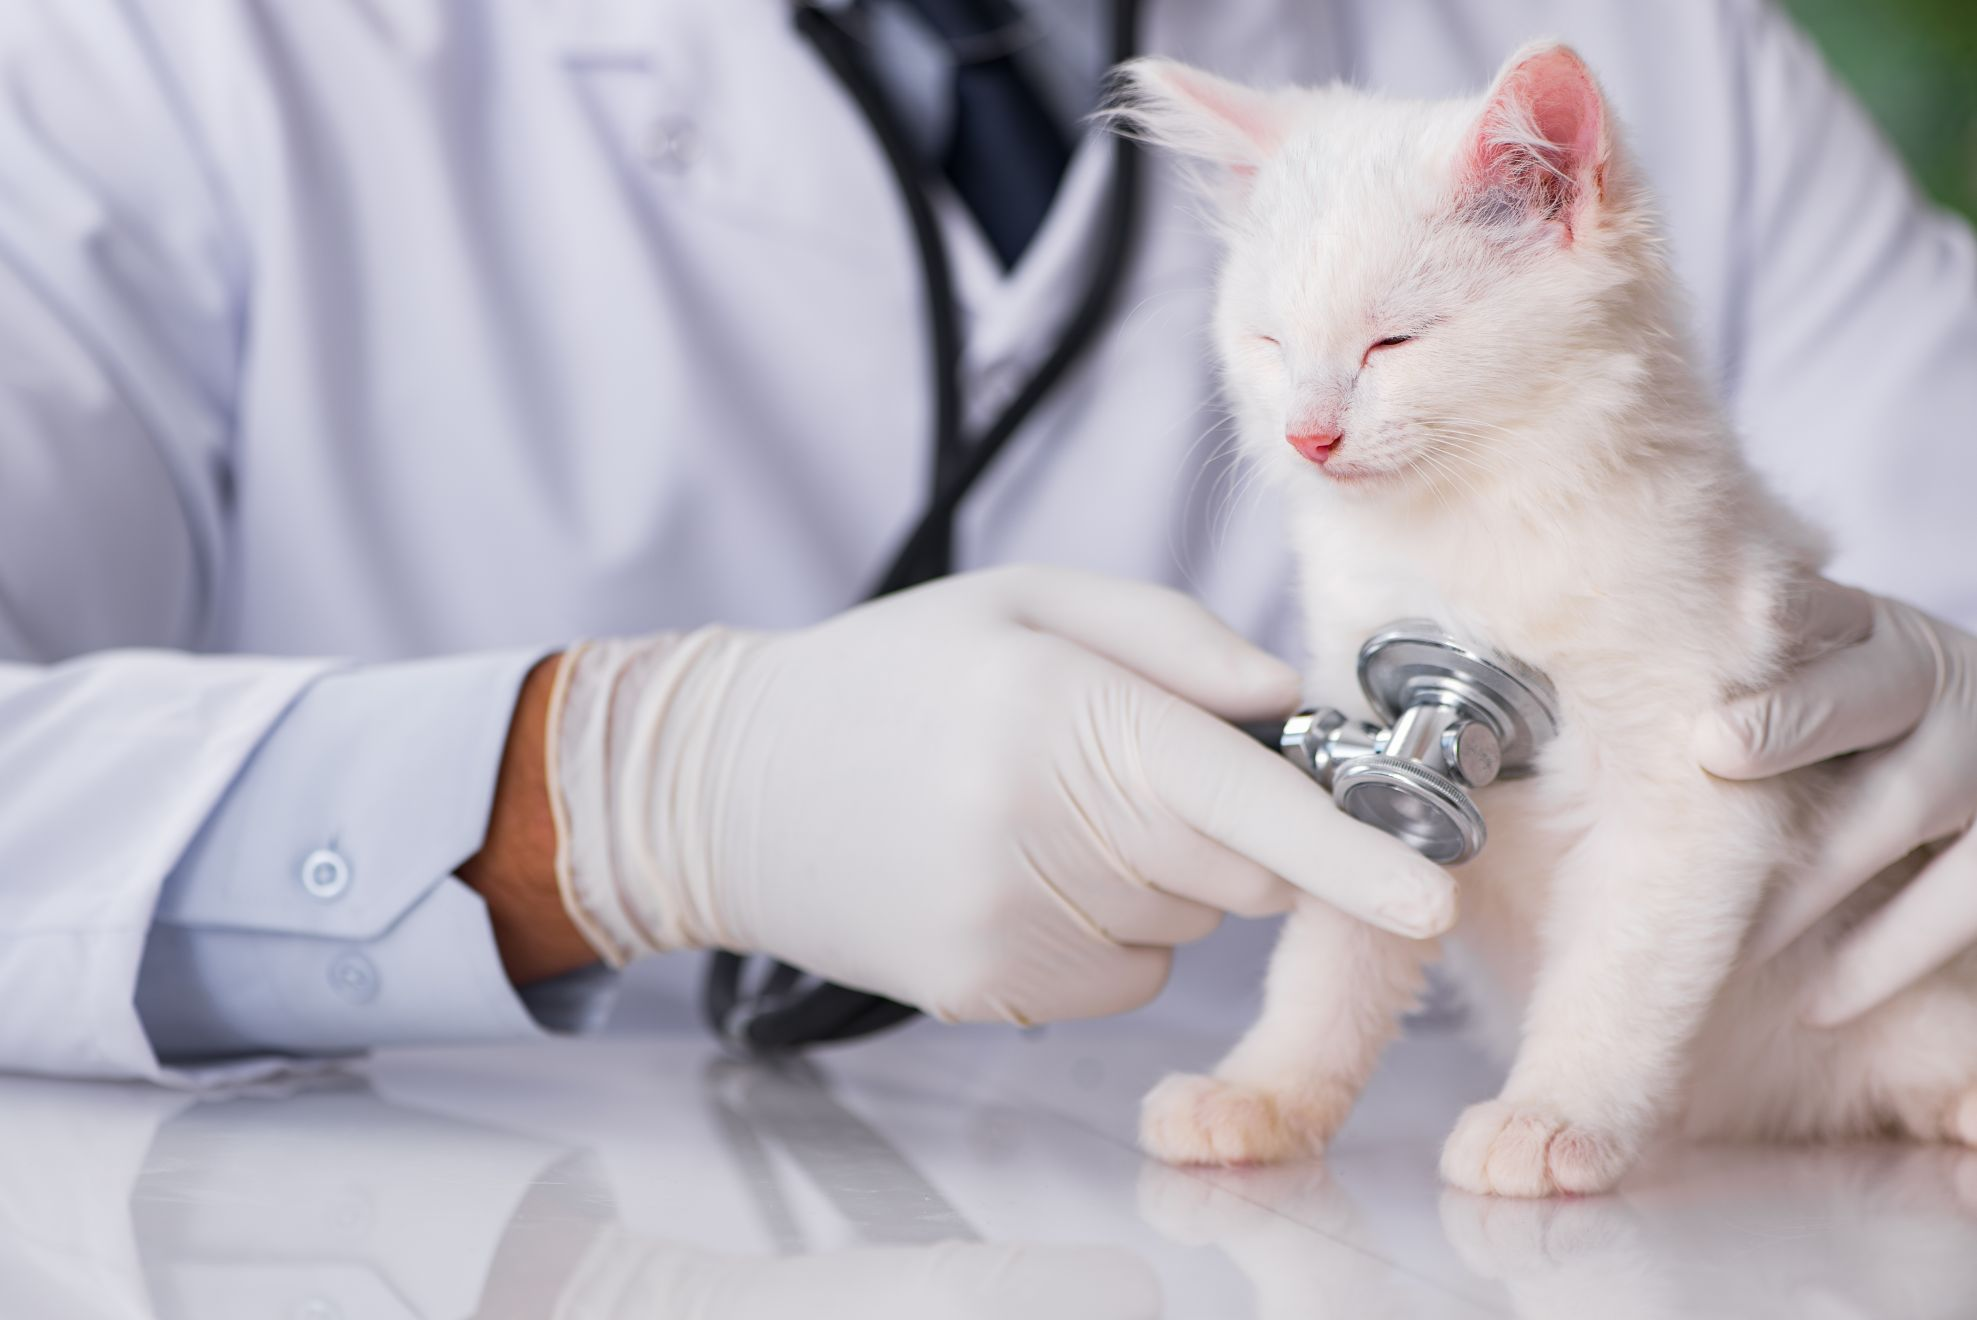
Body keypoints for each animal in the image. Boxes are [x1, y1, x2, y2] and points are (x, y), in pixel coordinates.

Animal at [1115, 41, 1977, 1193]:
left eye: (1392, 342)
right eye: (1270, 345)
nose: (1308, 436)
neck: (1471, 525)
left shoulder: (1689, 791)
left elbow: (1612, 978)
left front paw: (1551, 1117)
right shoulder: (1367, 735)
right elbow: (1330, 960)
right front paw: (1263, 1093)